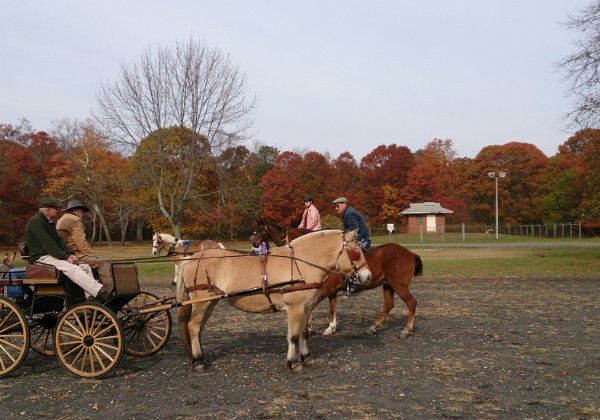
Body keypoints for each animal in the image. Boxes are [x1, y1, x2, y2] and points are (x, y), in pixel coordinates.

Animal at [177, 230, 370, 370]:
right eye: (356, 252)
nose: (367, 276)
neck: (302, 263)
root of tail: (191, 259)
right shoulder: (295, 308)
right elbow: (293, 336)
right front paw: (293, 363)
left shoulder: (306, 308)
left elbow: (303, 333)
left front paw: (306, 358)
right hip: (202, 302)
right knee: (193, 326)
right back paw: (199, 361)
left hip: (210, 302)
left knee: (198, 328)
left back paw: (199, 357)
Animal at [248, 220, 422, 338]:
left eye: (260, 230)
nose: (253, 242)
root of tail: (410, 253)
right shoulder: (331, 291)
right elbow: (332, 309)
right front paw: (330, 328)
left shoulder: (324, 290)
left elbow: (312, 308)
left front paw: (309, 327)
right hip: (388, 285)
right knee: (388, 305)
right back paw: (374, 326)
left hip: (399, 285)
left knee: (412, 303)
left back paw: (406, 329)